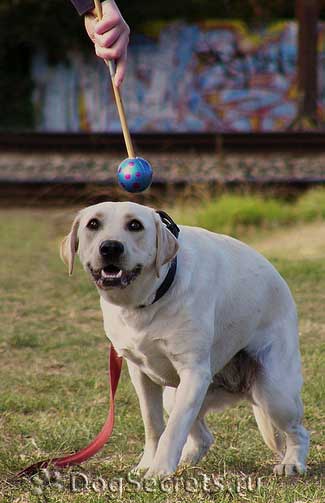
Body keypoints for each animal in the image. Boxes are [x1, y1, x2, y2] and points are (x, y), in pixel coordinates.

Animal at [60, 200, 308, 476]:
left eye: (135, 225)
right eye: (93, 224)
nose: (111, 247)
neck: (149, 300)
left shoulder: (194, 373)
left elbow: (173, 431)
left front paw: (158, 470)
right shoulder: (141, 375)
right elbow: (153, 425)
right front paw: (147, 464)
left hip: (275, 394)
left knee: (299, 432)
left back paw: (292, 462)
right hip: (176, 396)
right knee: (203, 436)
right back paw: (184, 461)